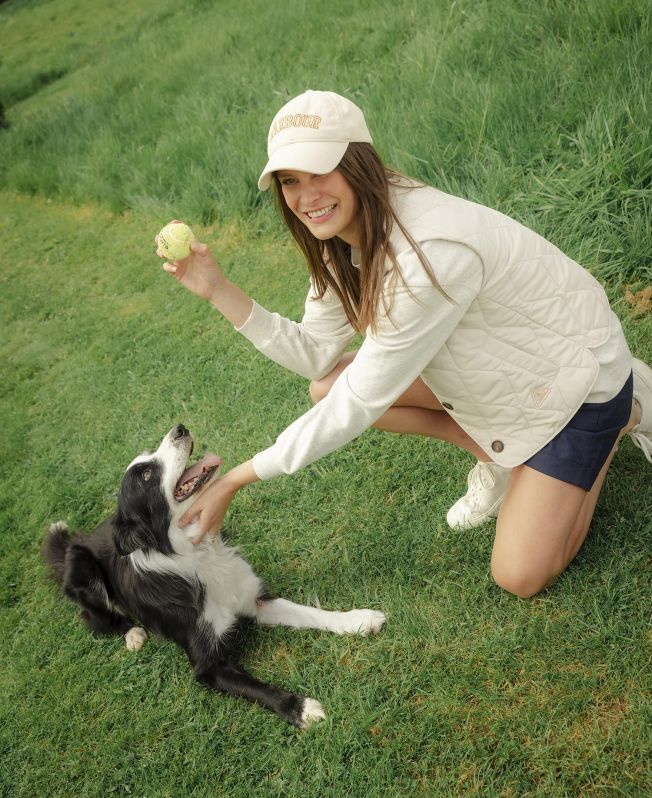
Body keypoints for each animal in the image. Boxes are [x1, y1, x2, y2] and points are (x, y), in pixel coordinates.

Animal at [42, 424, 388, 732]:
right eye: (146, 475)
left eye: (149, 454)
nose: (179, 428)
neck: (198, 556)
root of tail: (77, 541)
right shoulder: (206, 666)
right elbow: (257, 689)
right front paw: (300, 708)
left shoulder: (256, 599)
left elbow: (310, 613)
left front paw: (358, 620)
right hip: (83, 569)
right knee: (94, 618)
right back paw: (132, 633)